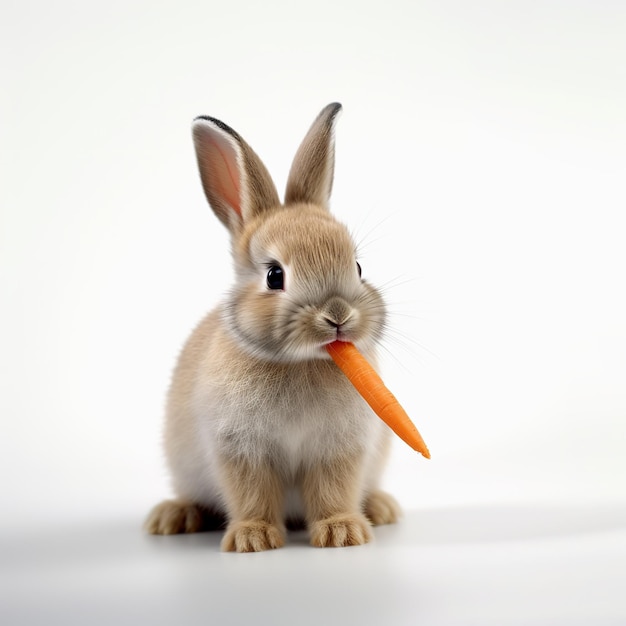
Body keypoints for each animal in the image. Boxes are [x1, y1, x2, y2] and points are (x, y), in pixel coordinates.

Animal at [144, 102, 400, 552]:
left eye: (357, 266)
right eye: (274, 276)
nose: (338, 315)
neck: (302, 362)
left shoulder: (339, 448)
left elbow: (333, 489)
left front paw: (342, 533)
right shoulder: (240, 449)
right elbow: (252, 493)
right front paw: (253, 539)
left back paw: (382, 508)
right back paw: (172, 517)